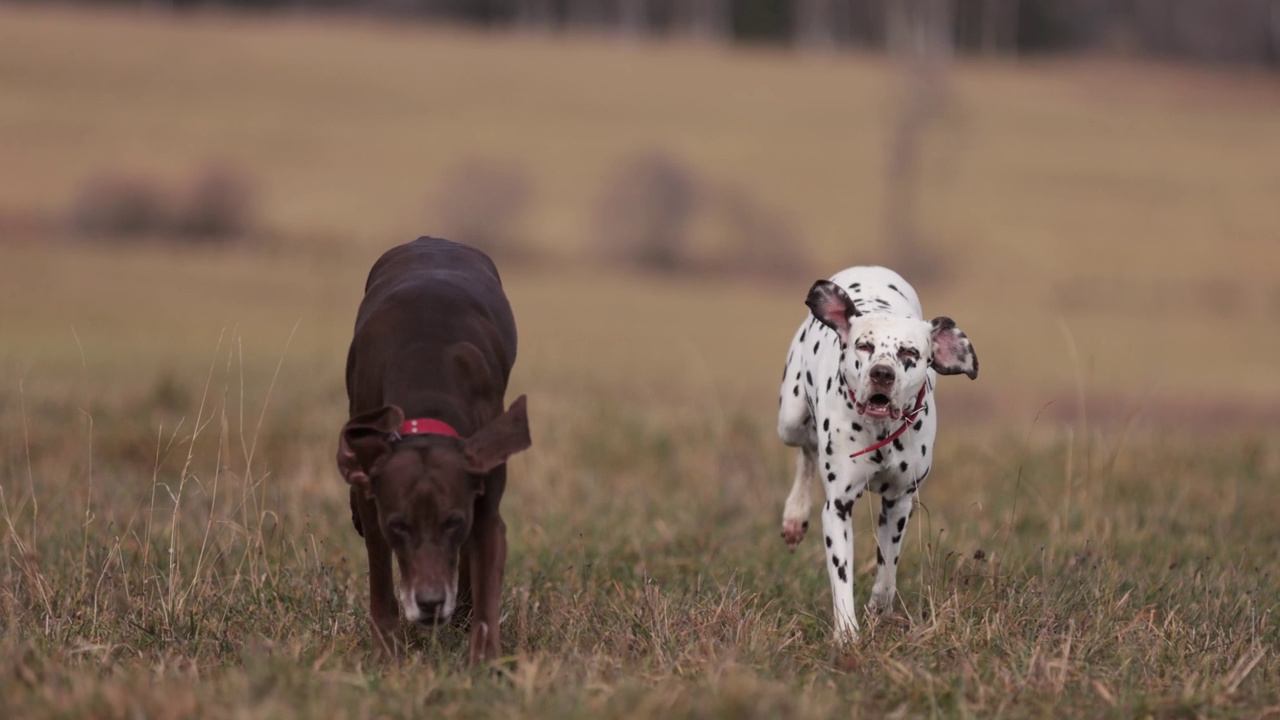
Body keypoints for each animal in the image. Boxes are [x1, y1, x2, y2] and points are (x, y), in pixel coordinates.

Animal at [335, 235, 529, 661]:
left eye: (453, 521)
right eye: (399, 526)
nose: (430, 604)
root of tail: (433, 239)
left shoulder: (483, 503)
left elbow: (485, 574)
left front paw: (484, 660)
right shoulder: (378, 514)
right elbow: (380, 582)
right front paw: (386, 655)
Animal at [773, 265, 972, 638]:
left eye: (910, 354)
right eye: (864, 346)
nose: (882, 373)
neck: (881, 432)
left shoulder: (898, 502)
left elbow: (887, 568)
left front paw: (880, 606)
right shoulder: (837, 508)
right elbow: (841, 577)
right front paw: (847, 632)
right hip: (790, 419)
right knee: (806, 450)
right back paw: (794, 516)